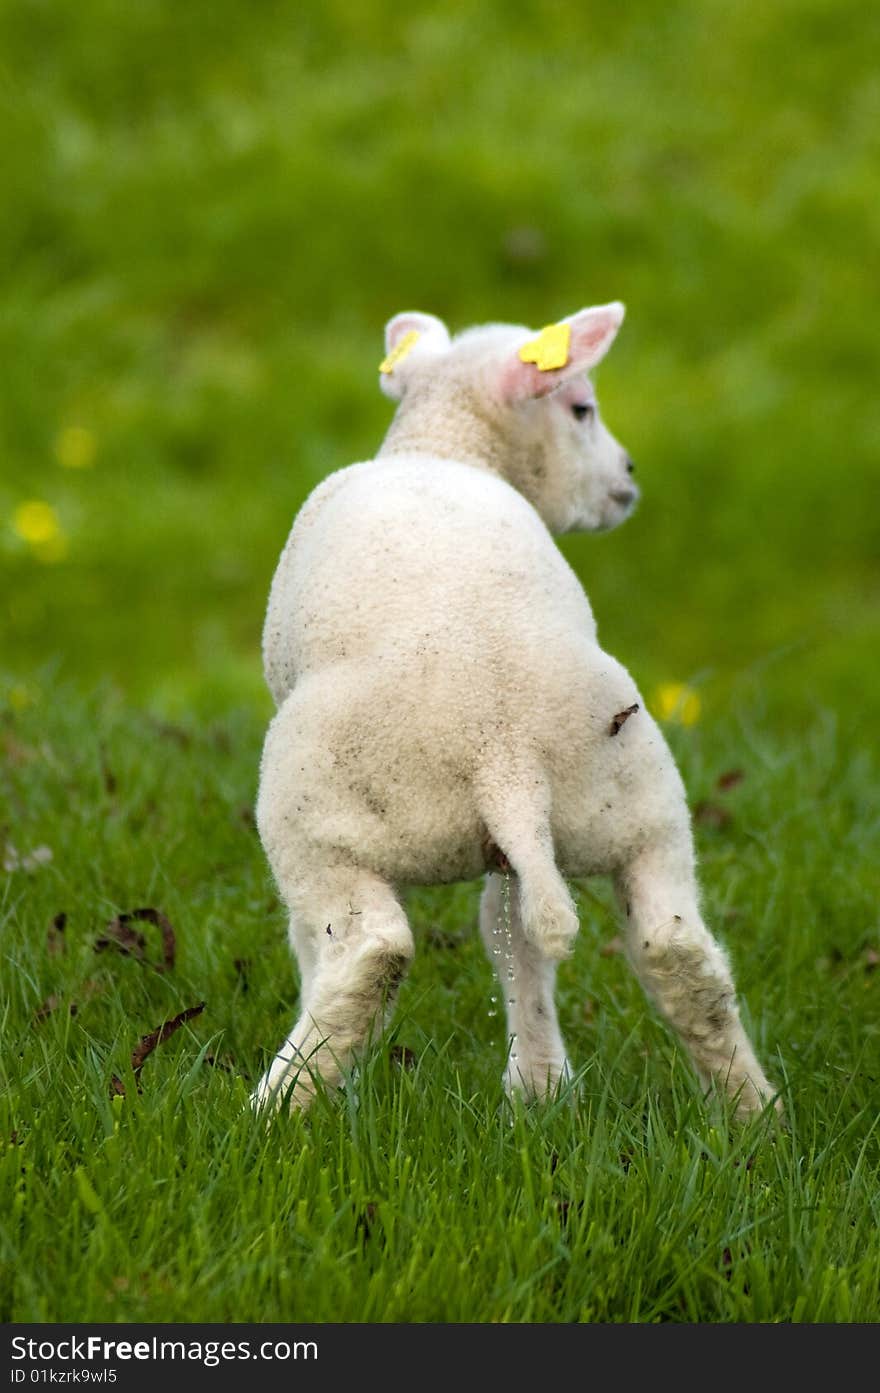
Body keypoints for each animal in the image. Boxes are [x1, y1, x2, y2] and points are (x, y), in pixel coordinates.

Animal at [250, 305, 774, 1119]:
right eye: (581, 408)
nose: (628, 478)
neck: (446, 442)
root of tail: (505, 754)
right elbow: (513, 937)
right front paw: (539, 1084)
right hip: (631, 799)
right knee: (670, 949)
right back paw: (746, 1112)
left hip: (319, 809)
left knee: (369, 950)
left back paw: (277, 1105)